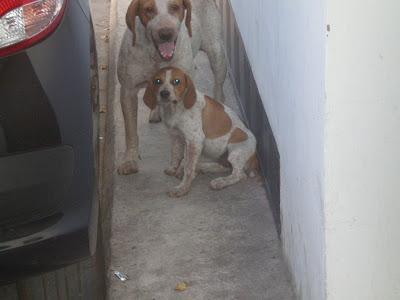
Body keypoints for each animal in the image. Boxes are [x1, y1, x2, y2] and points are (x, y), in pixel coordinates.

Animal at [117, 0, 227, 175]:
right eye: (148, 10)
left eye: (175, 7)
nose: (166, 33)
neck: (156, 55)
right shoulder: (128, 90)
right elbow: (131, 132)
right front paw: (129, 161)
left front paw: (184, 164)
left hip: (216, 53)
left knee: (218, 88)